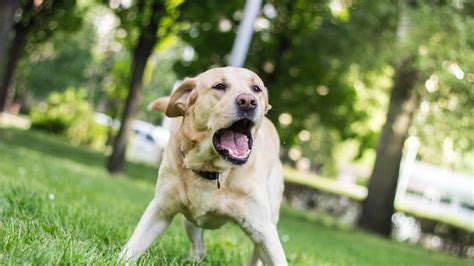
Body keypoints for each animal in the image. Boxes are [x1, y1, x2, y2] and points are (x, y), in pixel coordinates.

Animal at [120, 66, 286, 264]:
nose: (248, 101)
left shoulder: (264, 229)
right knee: (199, 248)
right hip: (190, 221)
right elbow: (132, 246)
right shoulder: (161, 208)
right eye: (219, 86)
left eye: (256, 89)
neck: (213, 170)